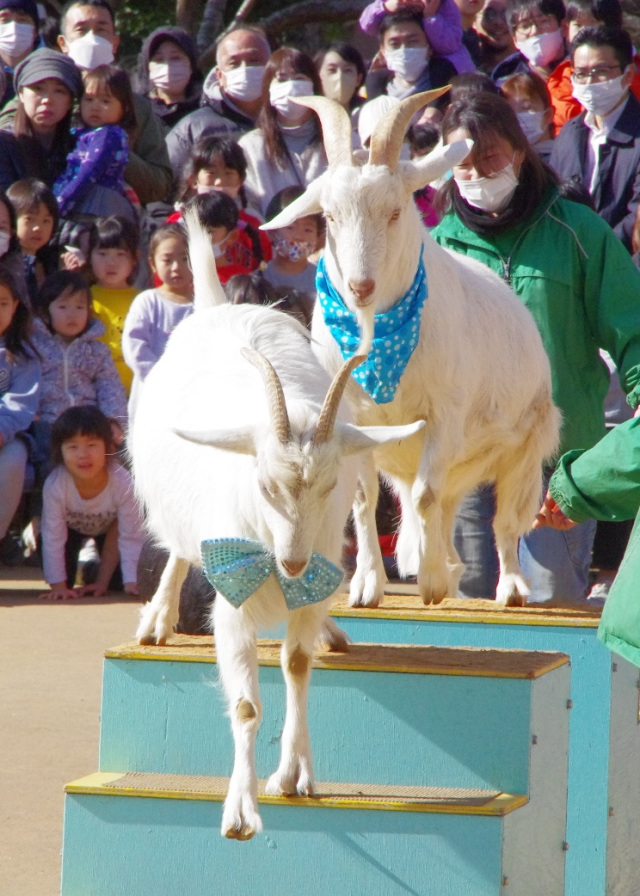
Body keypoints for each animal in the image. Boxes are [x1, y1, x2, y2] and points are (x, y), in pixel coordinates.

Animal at [130, 210, 420, 840]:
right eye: (264, 484)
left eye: (331, 485)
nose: (291, 562)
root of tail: (220, 306)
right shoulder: (233, 600)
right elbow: (244, 705)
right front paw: (241, 811)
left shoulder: (311, 585)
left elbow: (297, 664)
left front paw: (293, 773)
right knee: (178, 550)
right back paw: (157, 617)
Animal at [262, 89, 560, 608]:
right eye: (330, 216)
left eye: (395, 212)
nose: (360, 286)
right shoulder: (352, 422)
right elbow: (366, 498)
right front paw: (367, 585)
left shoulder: (445, 415)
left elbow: (425, 496)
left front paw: (432, 582)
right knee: (442, 503)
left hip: (526, 441)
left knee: (504, 518)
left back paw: (509, 586)